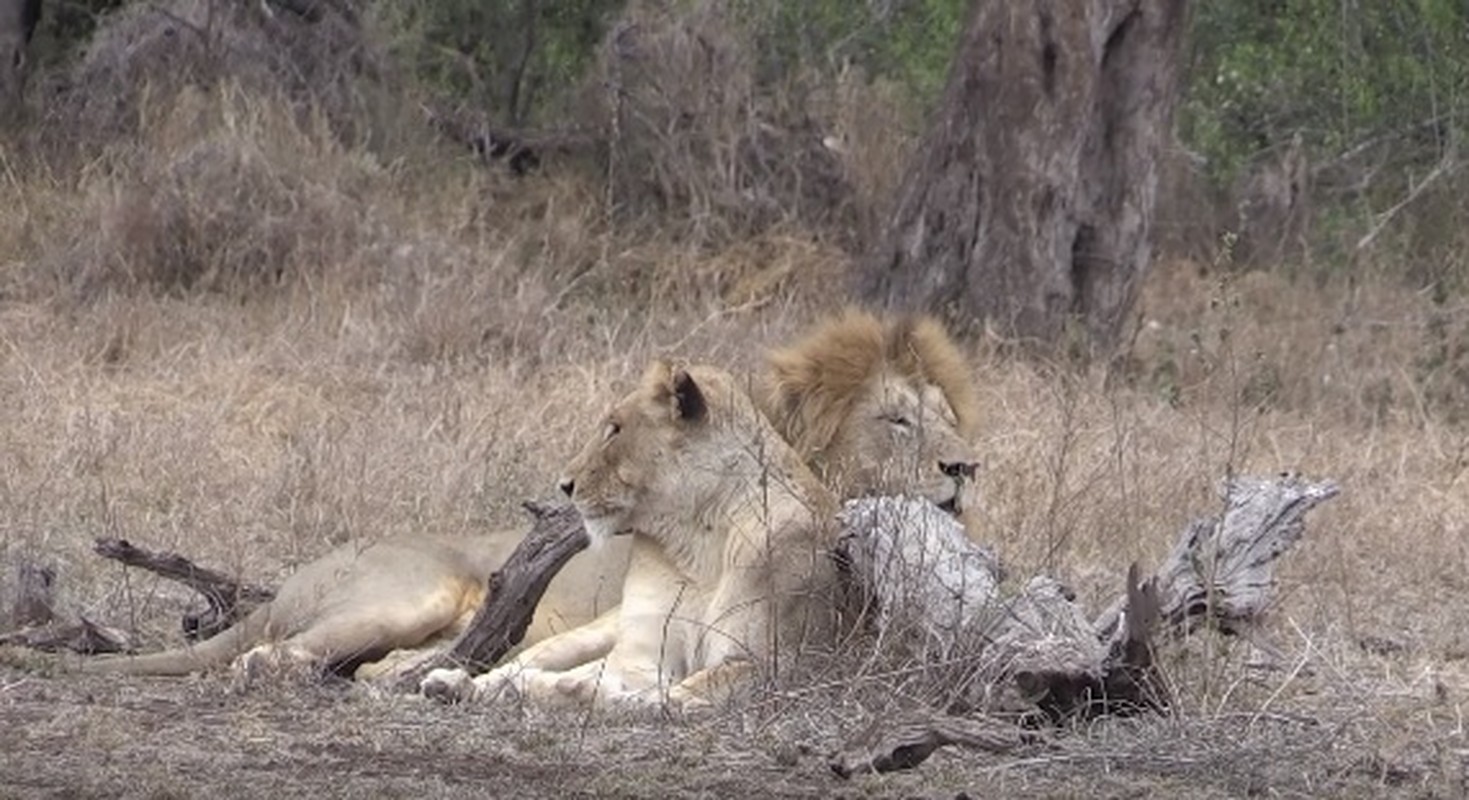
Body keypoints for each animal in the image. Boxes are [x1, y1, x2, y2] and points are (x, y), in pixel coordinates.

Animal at [420, 358, 846, 707]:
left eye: (615, 430)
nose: (565, 485)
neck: (698, 535)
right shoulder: (643, 650)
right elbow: (606, 677)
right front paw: (547, 689)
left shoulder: (776, 661)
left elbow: (680, 694)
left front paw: (590, 695)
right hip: (590, 632)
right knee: (522, 661)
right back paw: (451, 683)